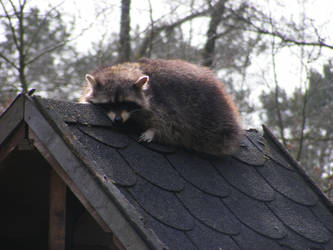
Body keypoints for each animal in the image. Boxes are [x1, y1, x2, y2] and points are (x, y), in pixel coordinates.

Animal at [79, 58, 243, 156]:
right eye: (109, 104)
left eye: (126, 103)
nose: (118, 120)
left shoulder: (163, 104)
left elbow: (171, 126)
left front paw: (153, 131)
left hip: (213, 120)